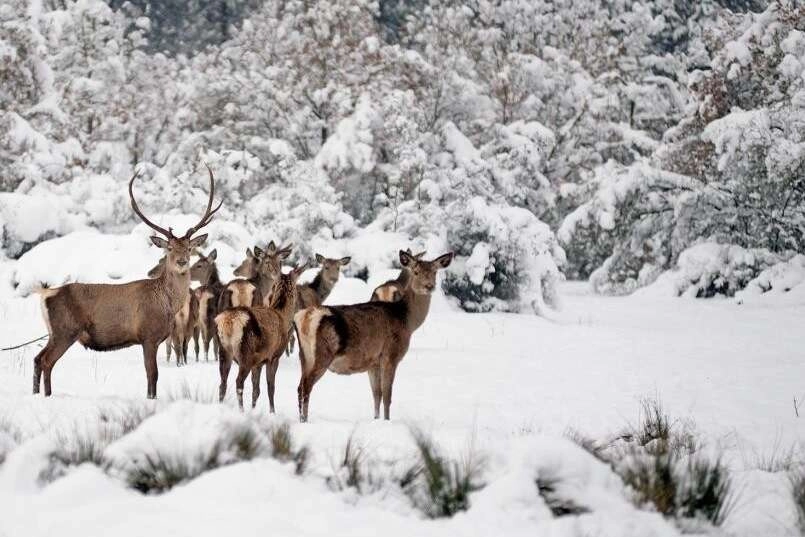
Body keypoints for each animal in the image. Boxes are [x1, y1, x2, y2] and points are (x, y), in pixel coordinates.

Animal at [31, 165, 221, 396]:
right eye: (169, 248)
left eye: (189, 248)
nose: (182, 261)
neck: (167, 304)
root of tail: (46, 293)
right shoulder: (148, 335)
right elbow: (152, 375)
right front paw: (151, 398)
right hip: (65, 330)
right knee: (46, 361)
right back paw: (47, 395)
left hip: (54, 333)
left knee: (38, 359)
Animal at [215, 262, 306, 410]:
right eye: (297, 287)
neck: (282, 316)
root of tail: (229, 321)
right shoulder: (273, 356)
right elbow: (271, 388)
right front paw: (272, 411)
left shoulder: (258, 362)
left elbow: (256, 390)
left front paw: (254, 409)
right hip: (245, 353)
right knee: (238, 382)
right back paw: (241, 410)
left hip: (224, 350)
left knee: (223, 383)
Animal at [292, 249, 452, 420]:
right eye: (416, 272)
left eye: (434, 272)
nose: (429, 286)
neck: (406, 320)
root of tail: (305, 317)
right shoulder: (390, 355)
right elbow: (387, 396)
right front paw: (387, 420)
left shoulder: (373, 361)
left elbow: (377, 394)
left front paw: (376, 419)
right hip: (323, 353)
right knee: (306, 387)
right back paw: (304, 420)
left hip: (304, 356)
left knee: (299, 387)